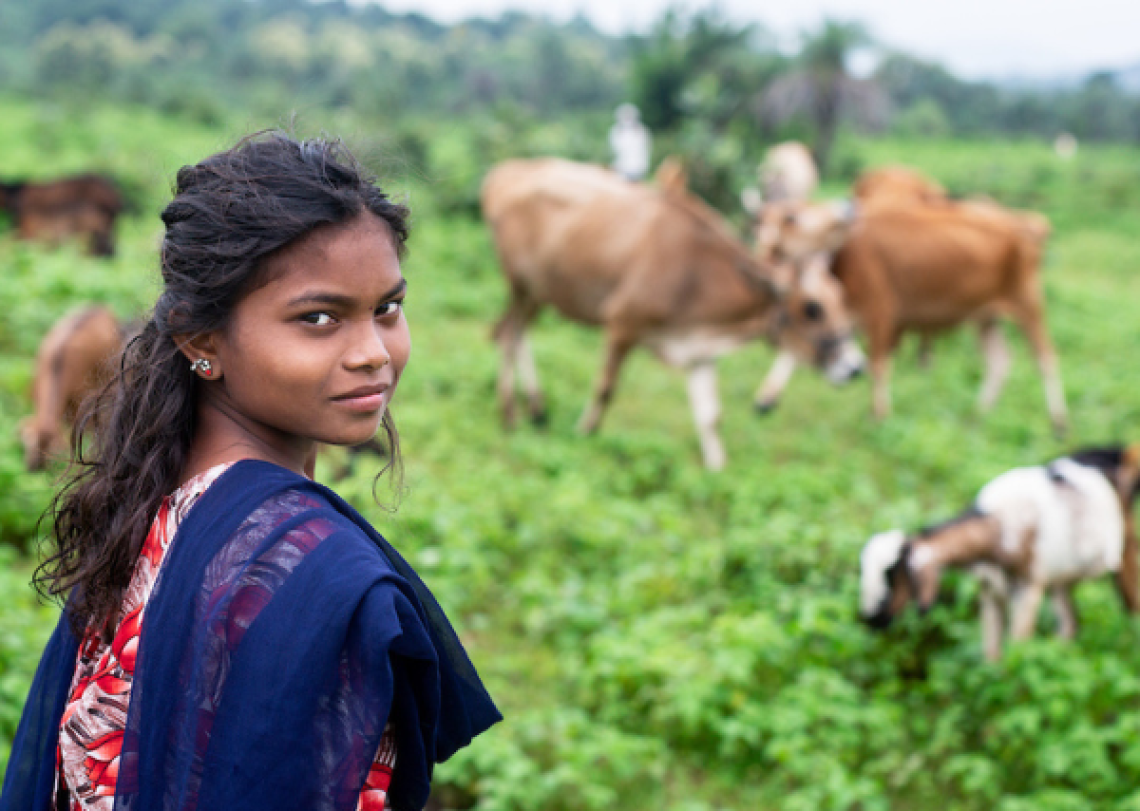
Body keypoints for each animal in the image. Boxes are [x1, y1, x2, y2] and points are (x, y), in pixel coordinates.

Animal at [481, 157, 861, 469]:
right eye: (812, 308)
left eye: (842, 298)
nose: (855, 366)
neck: (697, 271)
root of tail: (502, 179)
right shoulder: (622, 323)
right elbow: (605, 388)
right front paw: (584, 433)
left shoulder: (700, 352)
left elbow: (711, 416)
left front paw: (717, 470)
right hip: (520, 287)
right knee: (508, 334)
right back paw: (509, 414)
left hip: (537, 294)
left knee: (513, 333)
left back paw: (535, 409)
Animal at [861, 447, 1140, 661]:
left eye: (892, 577)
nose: (870, 620)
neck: (997, 526)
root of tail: (1117, 452)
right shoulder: (990, 589)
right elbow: (991, 654)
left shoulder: (1028, 589)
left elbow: (1018, 648)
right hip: (1061, 574)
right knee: (1070, 623)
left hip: (1125, 544)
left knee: (1130, 602)